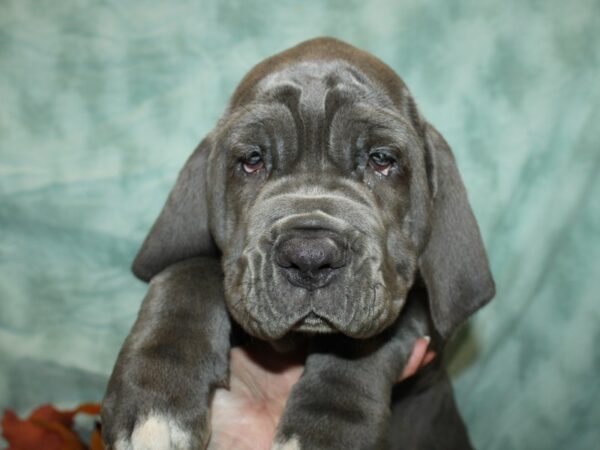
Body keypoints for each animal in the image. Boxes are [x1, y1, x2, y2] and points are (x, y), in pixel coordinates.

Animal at [103, 38, 494, 450]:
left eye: (381, 159)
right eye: (253, 160)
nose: (310, 259)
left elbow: (366, 338)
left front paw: (325, 430)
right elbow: (185, 271)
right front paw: (156, 403)